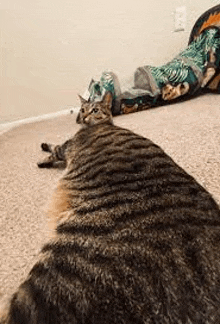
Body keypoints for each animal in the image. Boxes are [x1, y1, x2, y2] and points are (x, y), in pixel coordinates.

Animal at [1, 92, 220, 324]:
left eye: (95, 109)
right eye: (82, 109)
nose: (83, 115)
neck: (102, 124)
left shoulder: (66, 147)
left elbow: (55, 149)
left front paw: (43, 156)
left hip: (58, 276)